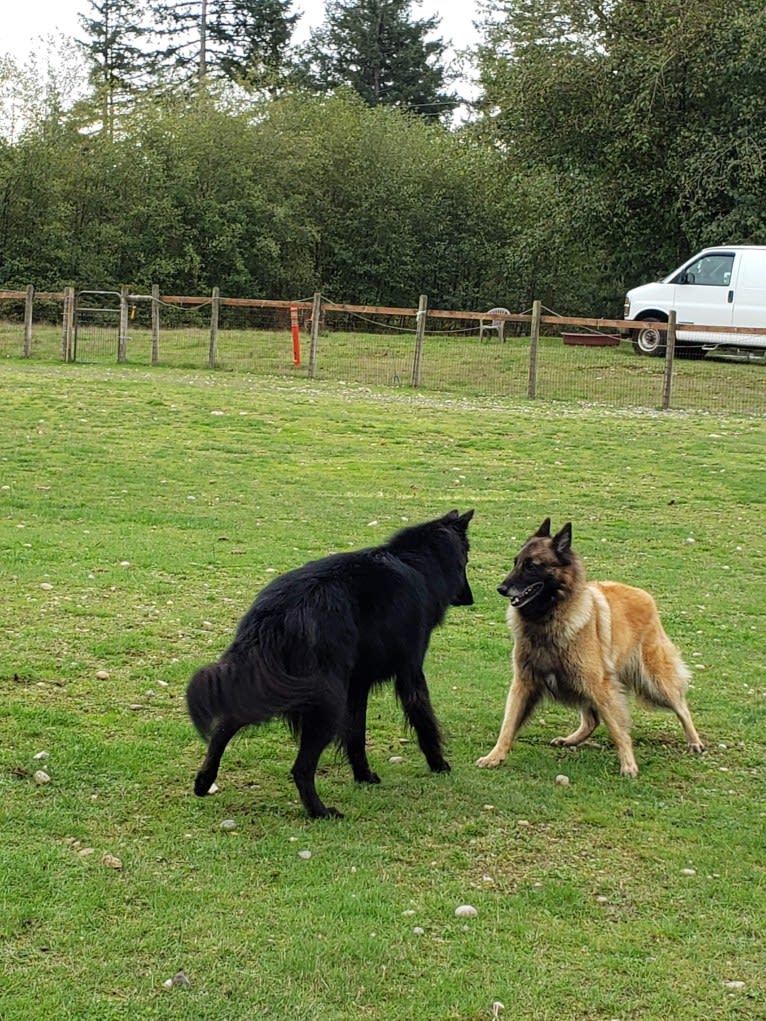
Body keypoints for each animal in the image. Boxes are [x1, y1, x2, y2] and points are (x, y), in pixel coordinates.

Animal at [185, 510, 473, 820]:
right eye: (466, 561)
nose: (470, 598)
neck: (416, 562)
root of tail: (276, 612)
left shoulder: (358, 686)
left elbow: (356, 735)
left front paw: (363, 776)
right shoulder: (410, 673)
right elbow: (425, 721)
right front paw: (439, 764)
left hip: (275, 685)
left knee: (225, 726)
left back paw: (204, 780)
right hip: (326, 703)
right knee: (301, 768)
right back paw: (319, 811)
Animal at [480, 518, 706, 771]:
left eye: (532, 566)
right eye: (516, 562)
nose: (501, 588)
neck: (548, 617)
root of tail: (645, 596)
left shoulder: (600, 684)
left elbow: (617, 728)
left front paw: (628, 764)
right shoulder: (524, 681)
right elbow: (508, 724)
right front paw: (494, 756)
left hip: (653, 680)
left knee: (681, 706)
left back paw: (695, 741)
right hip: (579, 683)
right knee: (591, 720)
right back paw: (570, 740)